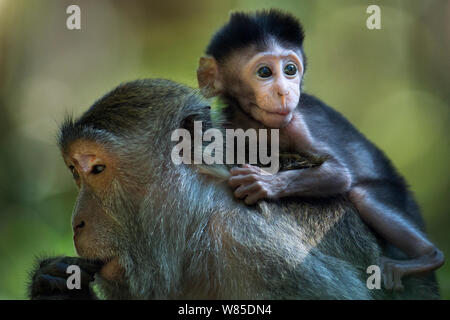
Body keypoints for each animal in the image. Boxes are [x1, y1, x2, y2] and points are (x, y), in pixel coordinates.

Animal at [29, 79, 440, 298]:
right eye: (75, 172)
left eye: (96, 168)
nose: (76, 224)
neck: (194, 230)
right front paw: (51, 284)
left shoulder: (263, 254)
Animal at [197, 9, 442, 292]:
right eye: (264, 72)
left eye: (290, 69)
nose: (284, 92)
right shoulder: (228, 126)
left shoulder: (296, 124)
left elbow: (339, 174)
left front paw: (265, 183)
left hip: (396, 192)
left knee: (363, 196)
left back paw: (427, 256)